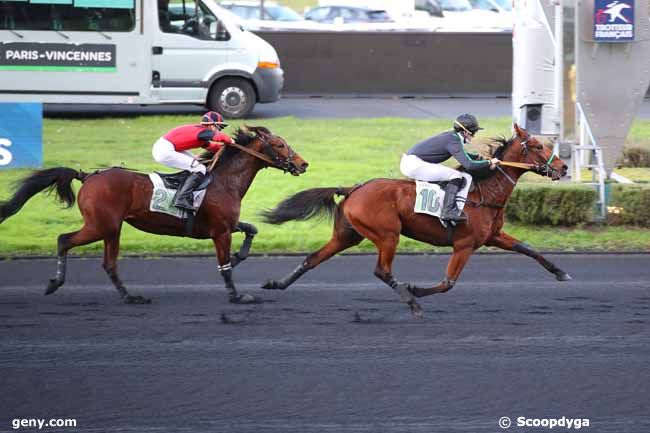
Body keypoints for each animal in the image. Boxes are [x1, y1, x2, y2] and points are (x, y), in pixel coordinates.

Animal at [0, 125, 306, 304]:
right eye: (280, 144)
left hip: (110, 228)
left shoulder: (226, 225)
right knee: (66, 240)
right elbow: (225, 266)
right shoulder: (220, 231)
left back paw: (129, 296)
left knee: (107, 263)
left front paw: (239, 256)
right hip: (103, 226)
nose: (303, 164)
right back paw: (56, 283)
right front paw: (237, 295)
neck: (223, 181)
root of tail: (88, 176)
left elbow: (252, 230)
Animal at [260, 123, 568, 316]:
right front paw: (416, 290)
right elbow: (448, 282)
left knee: (313, 258)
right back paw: (411, 302)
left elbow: (529, 249)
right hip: (388, 234)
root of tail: (354, 189)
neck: (484, 192)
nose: (564, 168)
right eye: (537, 146)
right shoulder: (465, 245)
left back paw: (276, 284)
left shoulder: (493, 236)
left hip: (347, 235)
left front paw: (560, 272)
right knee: (382, 271)